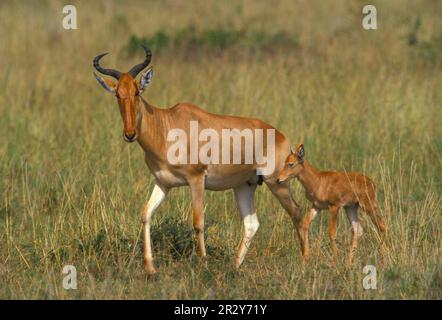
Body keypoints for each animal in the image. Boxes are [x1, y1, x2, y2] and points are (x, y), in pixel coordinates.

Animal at [93, 45, 304, 276]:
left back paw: (305, 261)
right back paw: (234, 266)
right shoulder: (163, 183)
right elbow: (146, 214)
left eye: (137, 91)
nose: (130, 134)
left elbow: (198, 222)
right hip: (244, 185)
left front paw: (203, 261)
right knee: (251, 223)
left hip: (277, 182)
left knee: (297, 212)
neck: (166, 125)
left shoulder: (196, 179)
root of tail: (281, 136)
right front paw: (150, 267)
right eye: (117, 94)